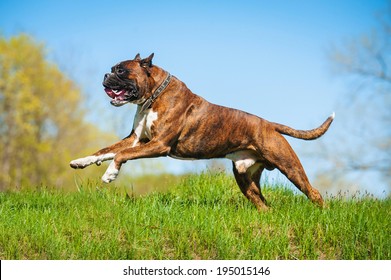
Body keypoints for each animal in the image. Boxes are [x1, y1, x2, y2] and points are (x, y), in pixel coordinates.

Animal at [70, 53, 334, 210]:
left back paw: (321, 213)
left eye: (121, 71)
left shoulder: (158, 145)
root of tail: (269, 124)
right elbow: (106, 150)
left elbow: (119, 155)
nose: (106, 75)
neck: (154, 96)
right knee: (262, 204)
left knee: (313, 192)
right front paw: (82, 161)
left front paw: (110, 174)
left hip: (289, 166)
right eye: (112, 69)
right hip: (244, 177)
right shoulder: (136, 140)